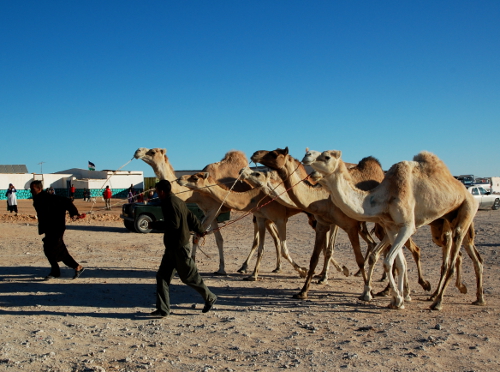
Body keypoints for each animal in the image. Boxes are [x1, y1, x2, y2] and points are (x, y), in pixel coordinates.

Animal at [176, 171, 308, 280]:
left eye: (195, 178)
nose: (180, 178)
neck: (253, 197)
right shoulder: (261, 218)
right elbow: (260, 247)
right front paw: (252, 275)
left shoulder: (280, 219)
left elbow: (283, 249)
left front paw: (303, 271)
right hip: (267, 220)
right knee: (274, 238)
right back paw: (274, 268)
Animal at [302, 150, 486, 310]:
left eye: (326, 156)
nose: (306, 156)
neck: (382, 197)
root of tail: (466, 191)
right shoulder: (391, 227)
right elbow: (400, 263)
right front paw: (399, 298)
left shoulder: (407, 226)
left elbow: (388, 261)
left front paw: (397, 298)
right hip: (448, 221)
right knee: (465, 255)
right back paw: (475, 296)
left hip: (467, 209)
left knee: (453, 256)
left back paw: (438, 301)